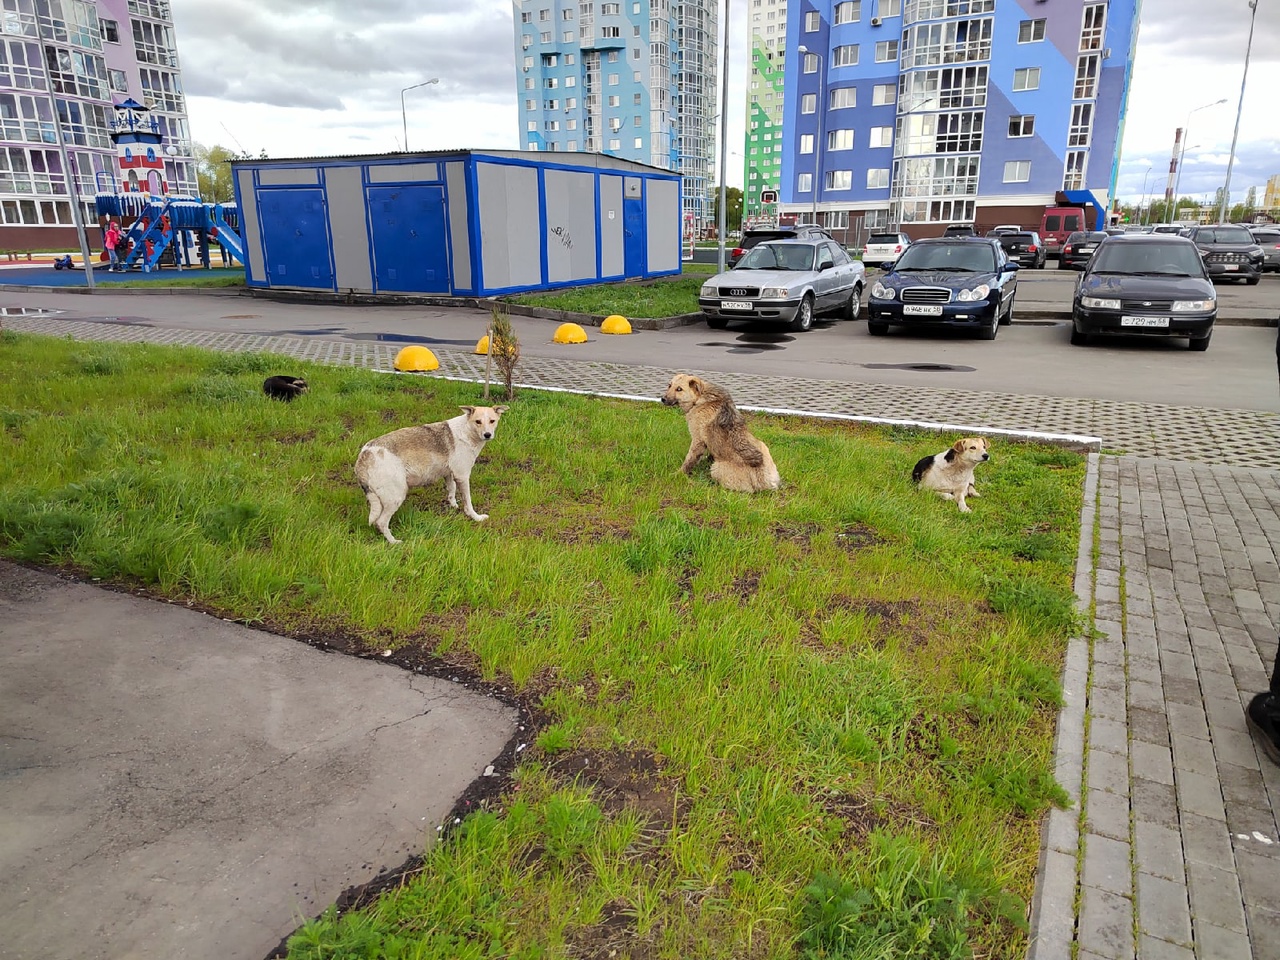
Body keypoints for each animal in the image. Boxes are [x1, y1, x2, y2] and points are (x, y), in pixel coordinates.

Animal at [358, 401, 506, 545]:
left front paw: (453, 505)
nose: (487, 435)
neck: (467, 430)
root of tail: (364, 456)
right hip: (396, 496)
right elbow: (468, 502)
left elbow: (451, 490)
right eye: (478, 421)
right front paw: (476, 517)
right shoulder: (463, 476)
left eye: (492, 421)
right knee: (381, 522)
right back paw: (394, 542)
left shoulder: (449, 473)